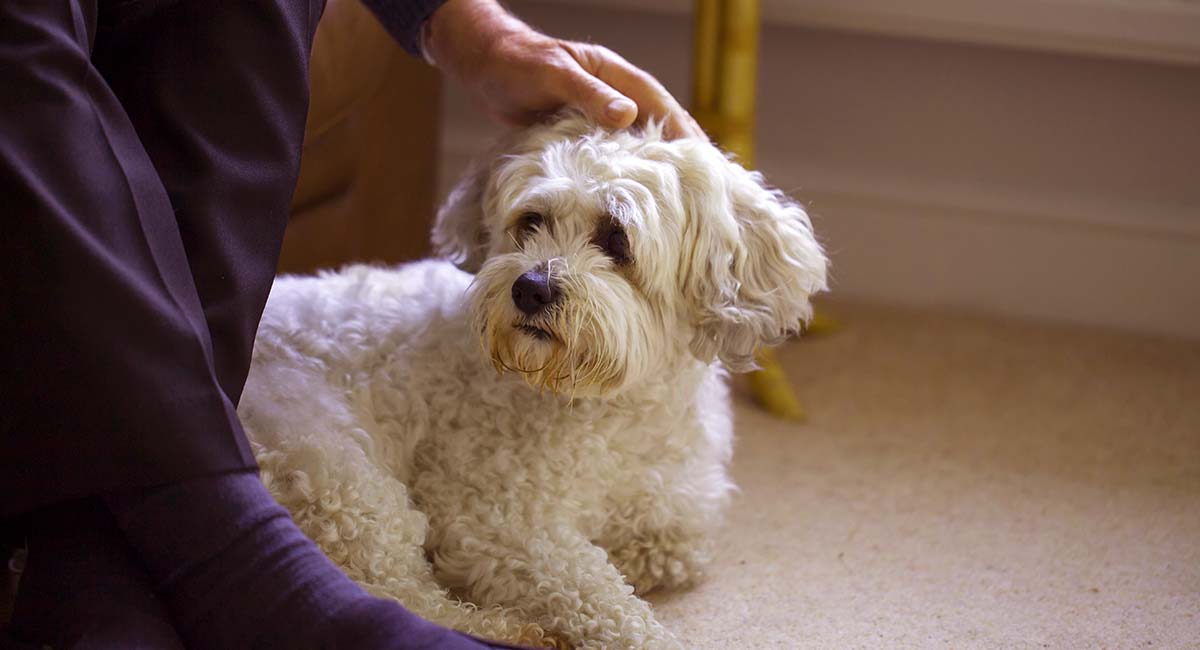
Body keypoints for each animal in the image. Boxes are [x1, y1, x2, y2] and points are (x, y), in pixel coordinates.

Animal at [240, 114, 830, 647]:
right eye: (531, 222)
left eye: (616, 239)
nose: (530, 287)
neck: (611, 401)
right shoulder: (497, 518)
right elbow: (597, 592)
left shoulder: (675, 512)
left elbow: (674, 551)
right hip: (339, 472)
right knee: (394, 594)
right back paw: (512, 630)